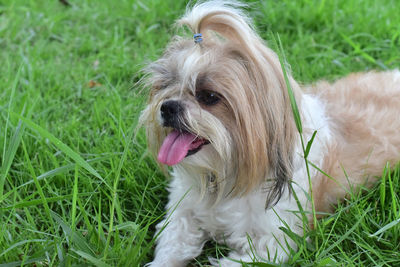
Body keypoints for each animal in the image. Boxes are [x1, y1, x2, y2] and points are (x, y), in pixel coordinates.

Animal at [140, 1, 400, 266]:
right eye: (164, 86)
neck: (225, 174)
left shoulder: (274, 242)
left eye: (209, 96)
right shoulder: (181, 214)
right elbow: (174, 241)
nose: (168, 106)